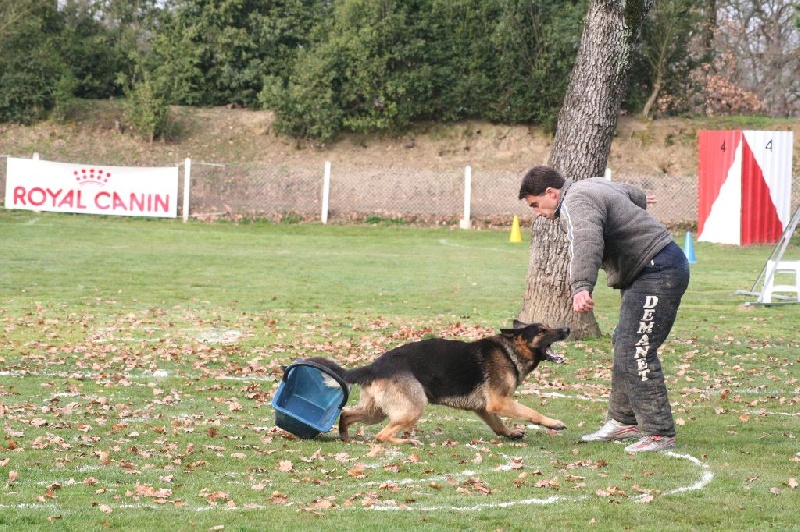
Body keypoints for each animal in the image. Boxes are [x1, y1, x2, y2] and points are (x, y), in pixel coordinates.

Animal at [308, 320, 568, 444]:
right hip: (413, 407)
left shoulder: (485, 408)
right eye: (542, 330)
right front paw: (554, 423)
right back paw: (407, 442)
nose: (566, 329)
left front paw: (510, 433)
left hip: (378, 411)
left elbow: (498, 425)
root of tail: (374, 366)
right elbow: (531, 412)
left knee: (346, 415)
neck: (510, 351)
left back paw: (345, 437)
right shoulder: (499, 402)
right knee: (382, 436)